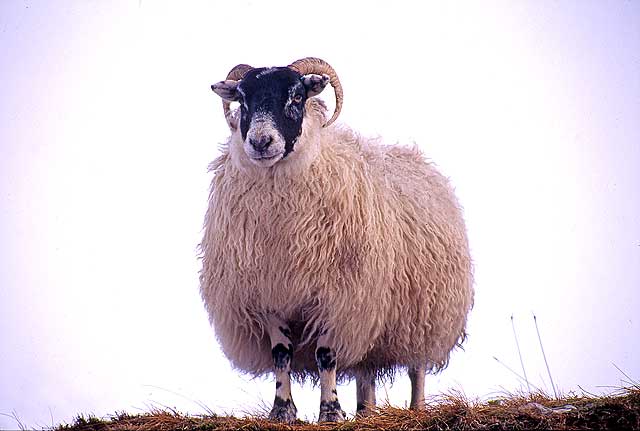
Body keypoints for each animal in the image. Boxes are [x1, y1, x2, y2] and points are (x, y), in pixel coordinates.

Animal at [200, 57, 476, 426]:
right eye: (242, 100)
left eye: (297, 96)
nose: (260, 142)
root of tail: (417, 158)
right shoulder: (269, 293)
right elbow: (281, 354)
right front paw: (283, 410)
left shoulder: (339, 296)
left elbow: (326, 355)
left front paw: (330, 411)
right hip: (372, 325)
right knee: (365, 370)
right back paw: (365, 412)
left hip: (420, 312)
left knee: (416, 367)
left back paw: (416, 409)